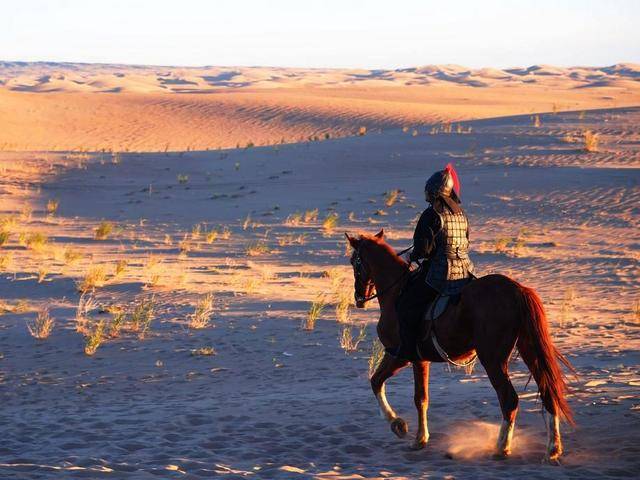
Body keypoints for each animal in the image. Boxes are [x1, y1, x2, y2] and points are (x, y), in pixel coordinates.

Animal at [344, 231, 576, 464]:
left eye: (354, 262)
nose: (359, 298)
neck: (397, 292)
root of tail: (517, 290)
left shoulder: (399, 356)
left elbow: (378, 382)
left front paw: (398, 425)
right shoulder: (420, 360)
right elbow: (421, 398)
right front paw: (420, 437)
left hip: (492, 359)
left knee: (509, 398)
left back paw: (501, 448)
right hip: (529, 349)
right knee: (547, 391)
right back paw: (553, 449)